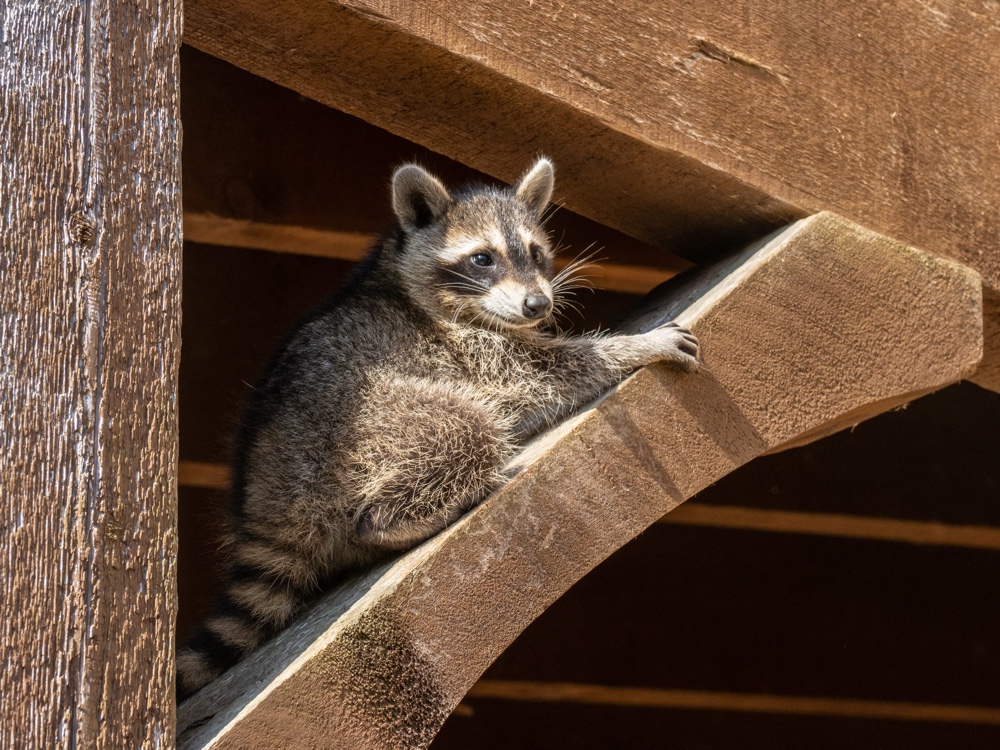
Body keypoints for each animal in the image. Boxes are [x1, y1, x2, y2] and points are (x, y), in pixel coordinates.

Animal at [176, 156, 700, 704]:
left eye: (535, 253)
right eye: (482, 259)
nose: (538, 304)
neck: (399, 270)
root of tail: (263, 498)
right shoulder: (459, 347)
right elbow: (537, 378)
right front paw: (632, 345)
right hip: (354, 434)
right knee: (465, 426)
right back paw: (405, 515)